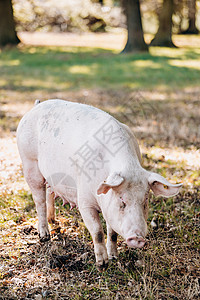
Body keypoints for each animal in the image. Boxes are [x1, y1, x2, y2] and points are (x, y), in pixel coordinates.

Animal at [16, 100, 183, 270]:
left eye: (145, 201)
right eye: (122, 201)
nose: (138, 238)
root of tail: (36, 106)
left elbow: (112, 233)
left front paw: (114, 257)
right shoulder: (84, 201)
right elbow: (97, 231)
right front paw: (102, 265)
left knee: (50, 193)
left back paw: (53, 221)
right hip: (29, 163)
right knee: (39, 201)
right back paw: (44, 236)